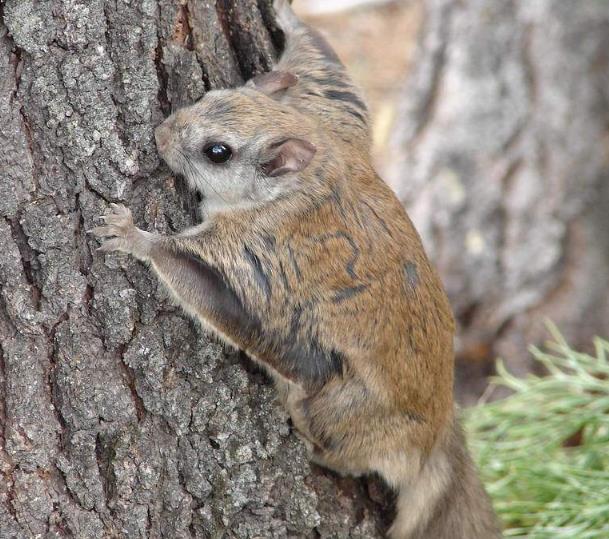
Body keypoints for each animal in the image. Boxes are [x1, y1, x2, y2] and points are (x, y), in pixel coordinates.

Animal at [94, 2, 498, 536]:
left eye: (217, 152)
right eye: (211, 94)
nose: (159, 134)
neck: (308, 177)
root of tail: (435, 436)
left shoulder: (257, 251)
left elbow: (203, 282)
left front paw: (134, 236)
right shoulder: (335, 117)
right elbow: (328, 70)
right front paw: (289, 16)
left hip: (341, 406)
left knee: (348, 452)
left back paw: (314, 444)